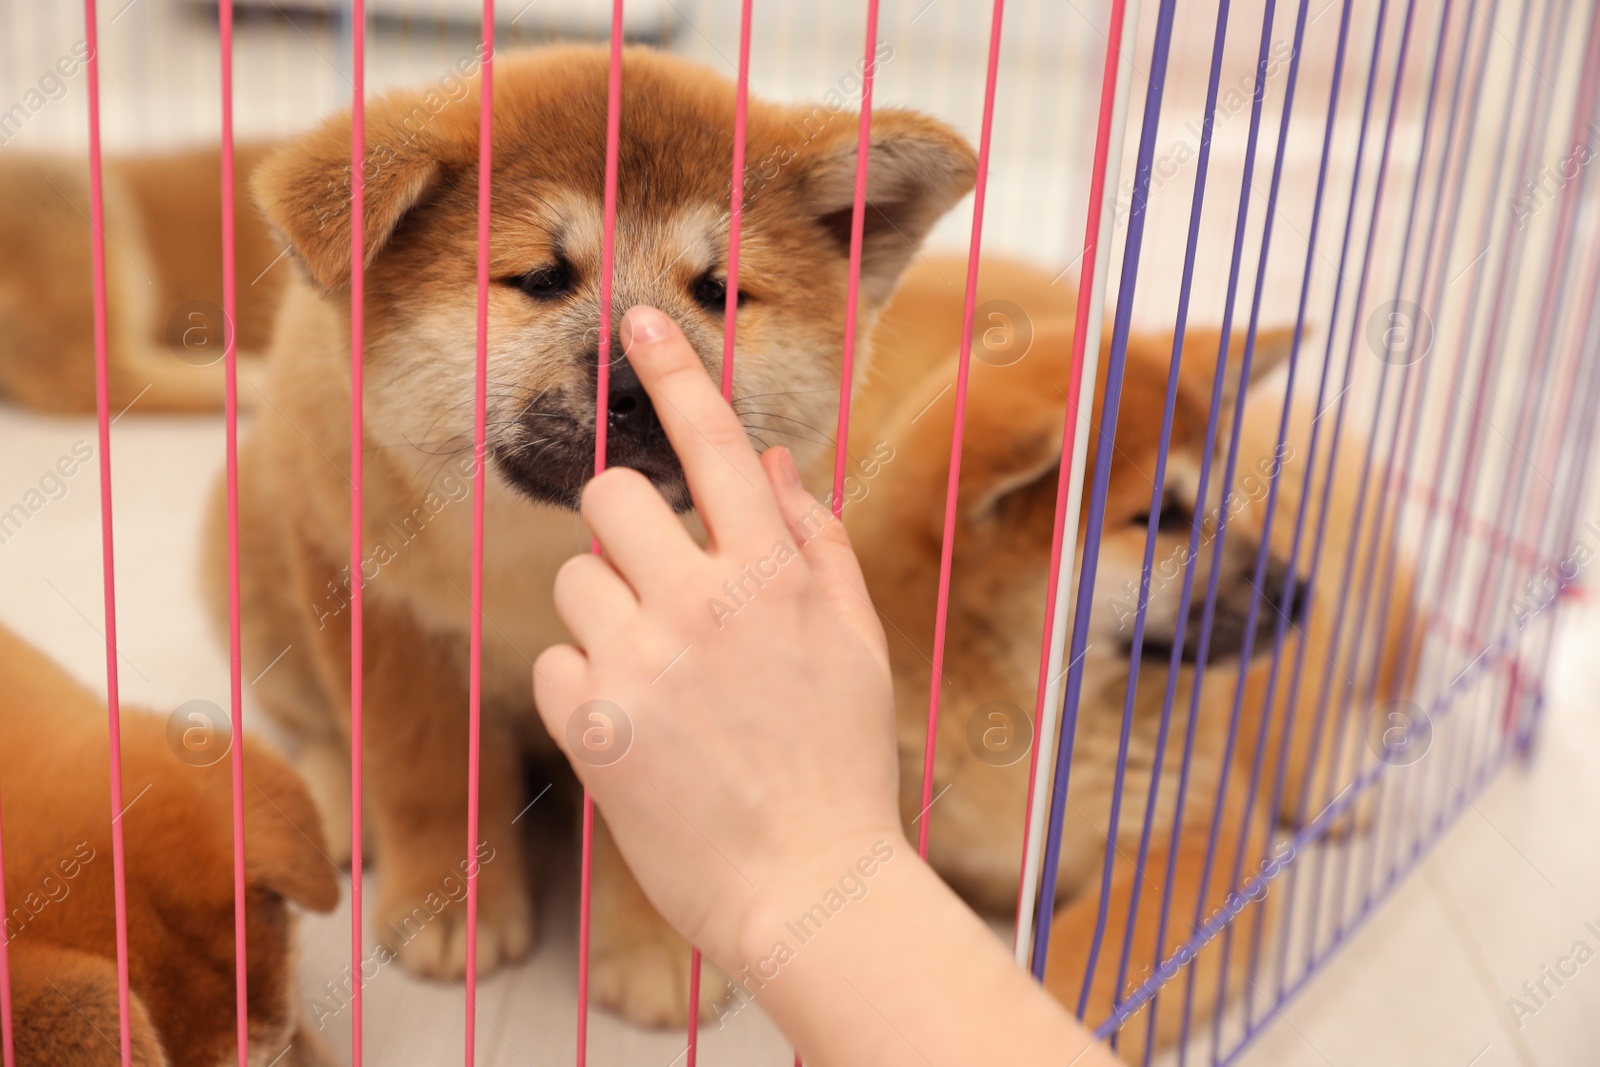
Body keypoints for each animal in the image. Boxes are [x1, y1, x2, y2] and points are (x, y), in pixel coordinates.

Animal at [206, 43, 979, 1023]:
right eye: (543, 278)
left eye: (719, 292)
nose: (640, 390)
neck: (548, 544)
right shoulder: (382, 610)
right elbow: (421, 771)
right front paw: (447, 909)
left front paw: (653, 948)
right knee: (323, 726)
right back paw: (336, 803)